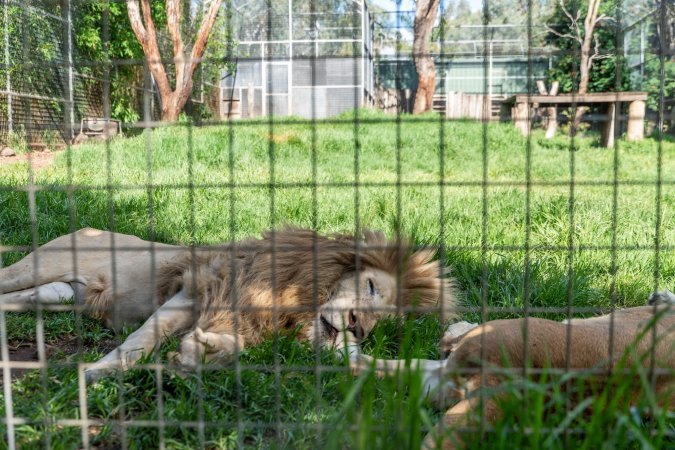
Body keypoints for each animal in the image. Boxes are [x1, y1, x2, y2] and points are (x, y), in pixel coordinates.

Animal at [0, 227, 455, 381]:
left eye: (383, 323)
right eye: (372, 286)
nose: (358, 325)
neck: (298, 304)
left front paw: (203, 352)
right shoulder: (192, 292)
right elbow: (140, 341)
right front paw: (99, 372)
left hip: (59, 296)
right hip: (34, 267)